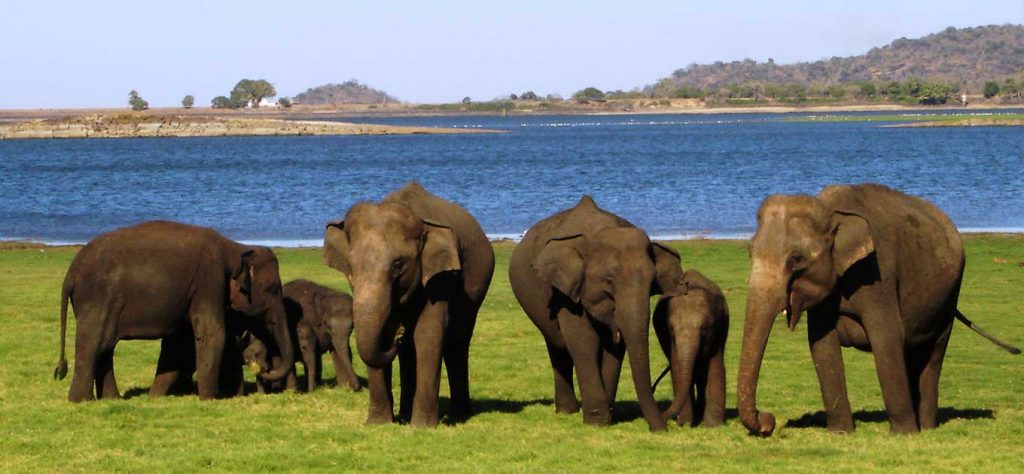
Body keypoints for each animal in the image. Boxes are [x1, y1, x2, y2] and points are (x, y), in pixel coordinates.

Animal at [53, 220, 295, 401]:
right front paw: (208, 399)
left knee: (105, 348)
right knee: (93, 345)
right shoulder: (209, 281)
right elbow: (213, 333)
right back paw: (81, 400)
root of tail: (70, 273)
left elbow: (179, 343)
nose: (264, 370)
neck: (235, 247)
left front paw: (154, 397)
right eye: (273, 289)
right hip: (99, 299)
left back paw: (112, 399)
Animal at [323, 182, 495, 426]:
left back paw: (459, 415)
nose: (397, 334)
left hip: (478, 283)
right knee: (409, 352)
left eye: (398, 265)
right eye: (351, 266)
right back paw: (405, 414)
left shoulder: (441, 276)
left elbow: (428, 333)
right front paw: (377, 424)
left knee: (457, 341)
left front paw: (422, 426)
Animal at [508, 196, 686, 431]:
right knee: (557, 345)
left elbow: (614, 349)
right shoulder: (565, 292)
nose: (660, 429)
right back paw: (567, 411)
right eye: (608, 282)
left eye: (651, 284)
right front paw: (596, 422)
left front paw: (607, 417)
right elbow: (584, 342)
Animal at [652, 269, 729, 427]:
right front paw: (685, 423)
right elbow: (677, 368)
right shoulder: (670, 339)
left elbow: (716, 367)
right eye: (671, 329)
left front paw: (714, 425)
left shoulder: (720, 328)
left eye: (704, 328)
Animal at [738, 183, 1020, 436]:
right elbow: (821, 344)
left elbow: (886, 336)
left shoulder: (877, 273)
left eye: (796, 258)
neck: (830, 209)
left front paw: (904, 434)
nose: (768, 421)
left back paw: (926, 427)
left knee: (934, 350)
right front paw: (840, 433)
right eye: (750, 252)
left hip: (949, 295)